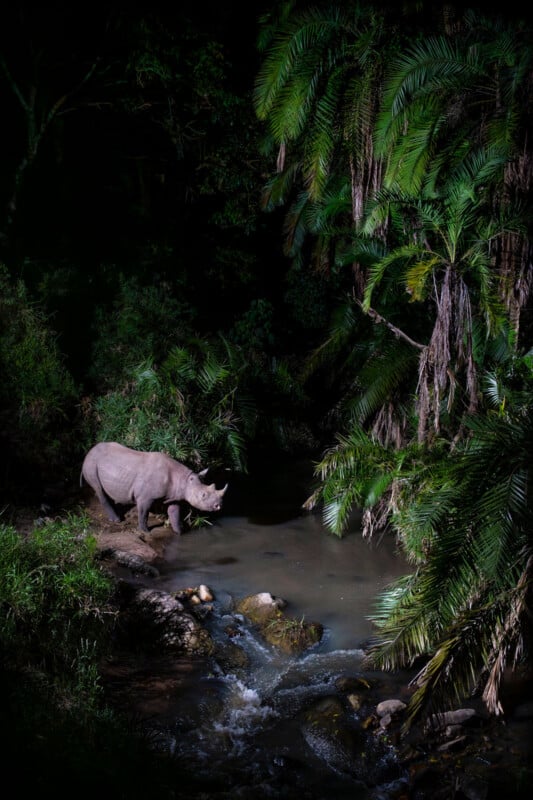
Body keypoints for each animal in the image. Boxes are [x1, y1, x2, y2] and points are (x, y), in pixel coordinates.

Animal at [81, 441, 228, 534]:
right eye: (203, 495)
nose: (218, 506)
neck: (184, 480)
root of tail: (88, 452)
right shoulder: (145, 497)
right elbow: (143, 512)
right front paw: (145, 531)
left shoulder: (175, 496)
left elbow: (174, 513)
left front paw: (179, 532)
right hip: (91, 464)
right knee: (99, 489)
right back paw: (116, 520)